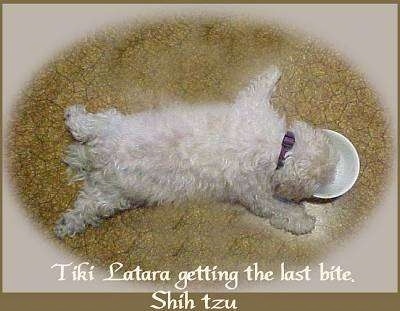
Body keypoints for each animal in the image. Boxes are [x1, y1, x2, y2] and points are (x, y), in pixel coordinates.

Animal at [54, 67, 340, 239]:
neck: (280, 149)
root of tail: (95, 160)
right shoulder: (256, 193)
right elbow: (280, 209)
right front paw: (303, 220)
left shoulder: (251, 111)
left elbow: (256, 89)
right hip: (112, 147)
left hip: (109, 192)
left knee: (86, 204)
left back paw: (66, 223)